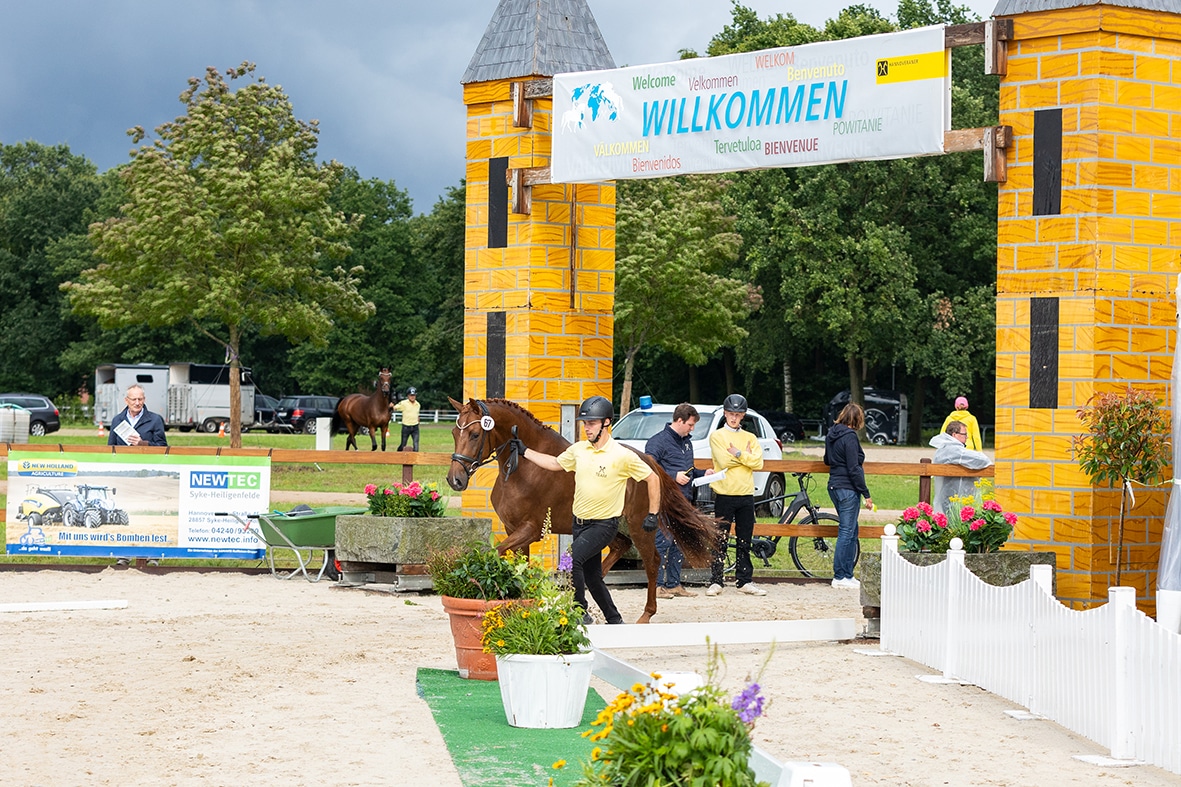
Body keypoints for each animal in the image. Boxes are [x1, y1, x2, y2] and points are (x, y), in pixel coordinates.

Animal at [444, 394, 713, 623]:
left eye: (475, 434)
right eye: (454, 432)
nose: (455, 480)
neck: (523, 467)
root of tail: (649, 463)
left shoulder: (531, 530)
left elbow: (494, 553)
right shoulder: (514, 530)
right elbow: (518, 565)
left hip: (639, 525)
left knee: (652, 561)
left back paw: (646, 614)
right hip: (614, 526)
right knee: (618, 550)